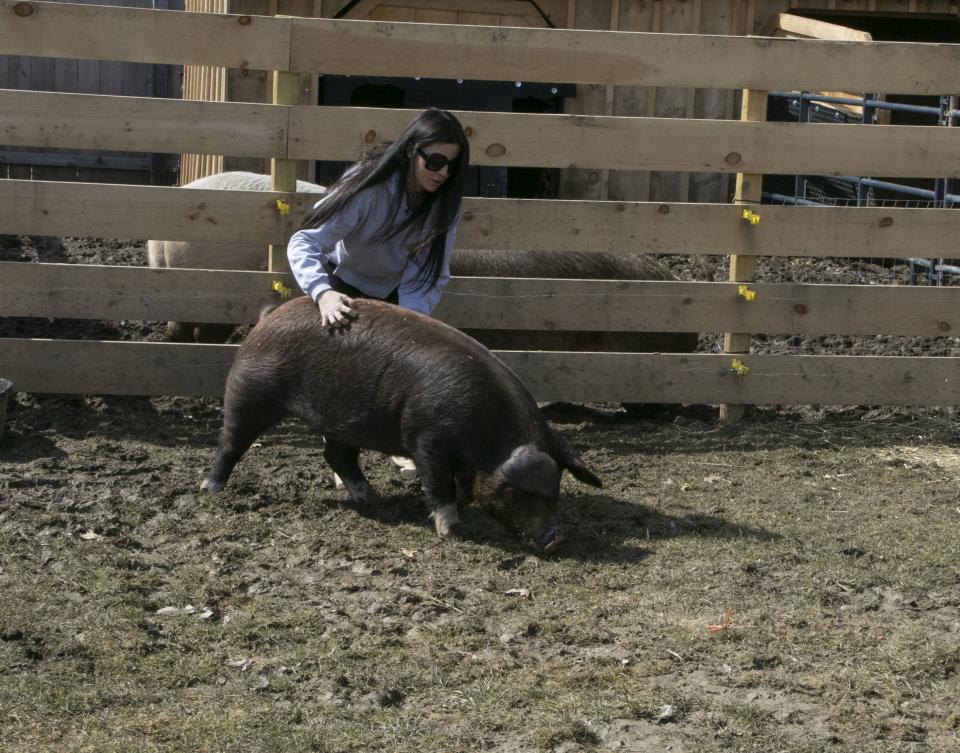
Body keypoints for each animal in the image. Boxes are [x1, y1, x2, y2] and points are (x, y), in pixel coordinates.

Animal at [200, 296, 600, 548]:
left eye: (556, 491)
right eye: (525, 492)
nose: (556, 539)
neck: (486, 438)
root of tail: (267, 318)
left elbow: (463, 484)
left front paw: (463, 508)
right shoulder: (427, 439)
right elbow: (438, 484)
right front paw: (450, 529)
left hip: (342, 421)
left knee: (338, 456)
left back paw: (370, 499)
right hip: (249, 394)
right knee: (230, 442)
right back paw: (210, 489)